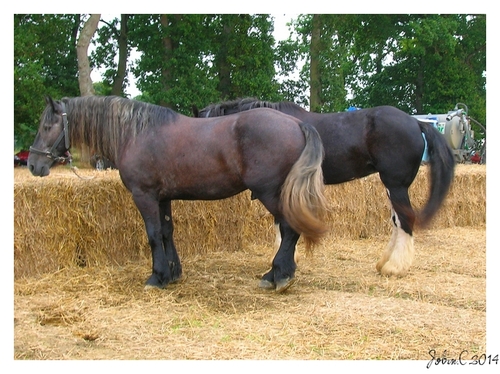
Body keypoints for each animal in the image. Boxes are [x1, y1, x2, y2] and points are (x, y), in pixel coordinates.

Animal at [27, 94, 328, 292]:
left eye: (47, 126)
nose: (32, 164)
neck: (137, 134)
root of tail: (295, 124)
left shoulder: (144, 195)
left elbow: (152, 235)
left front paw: (156, 276)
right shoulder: (162, 198)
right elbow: (166, 232)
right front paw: (171, 274)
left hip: (270, 192)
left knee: (289, 229)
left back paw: (278, 275)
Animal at [195, 98, 458, 276]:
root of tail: (416, 121)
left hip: (395, 184)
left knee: (406, 219)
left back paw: (395, 267)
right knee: (397, 221)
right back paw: (386, 262)